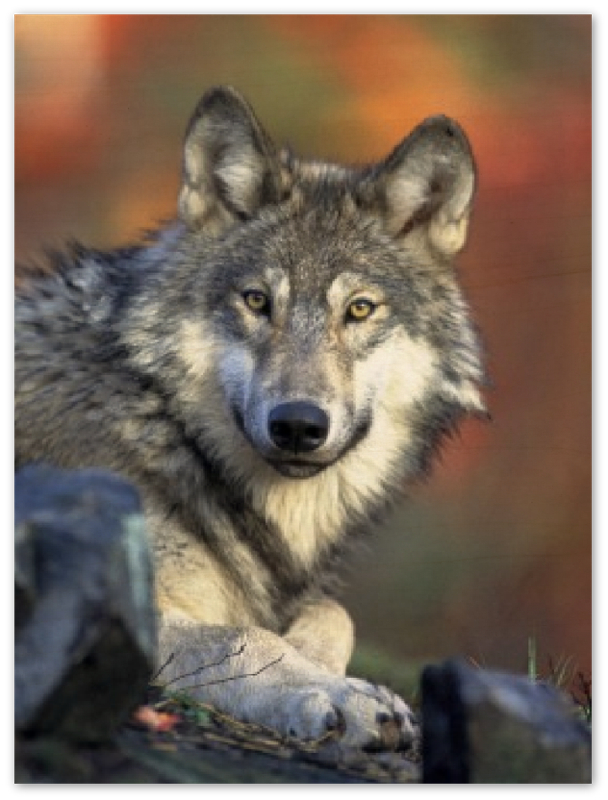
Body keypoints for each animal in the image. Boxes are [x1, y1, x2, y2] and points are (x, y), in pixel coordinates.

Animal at [14, 86, 487, 750]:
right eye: (258, 301)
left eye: (359, 309)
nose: (298, 425)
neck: (166, 427)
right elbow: (244, 636)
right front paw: (338, 695)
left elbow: (333, 614)